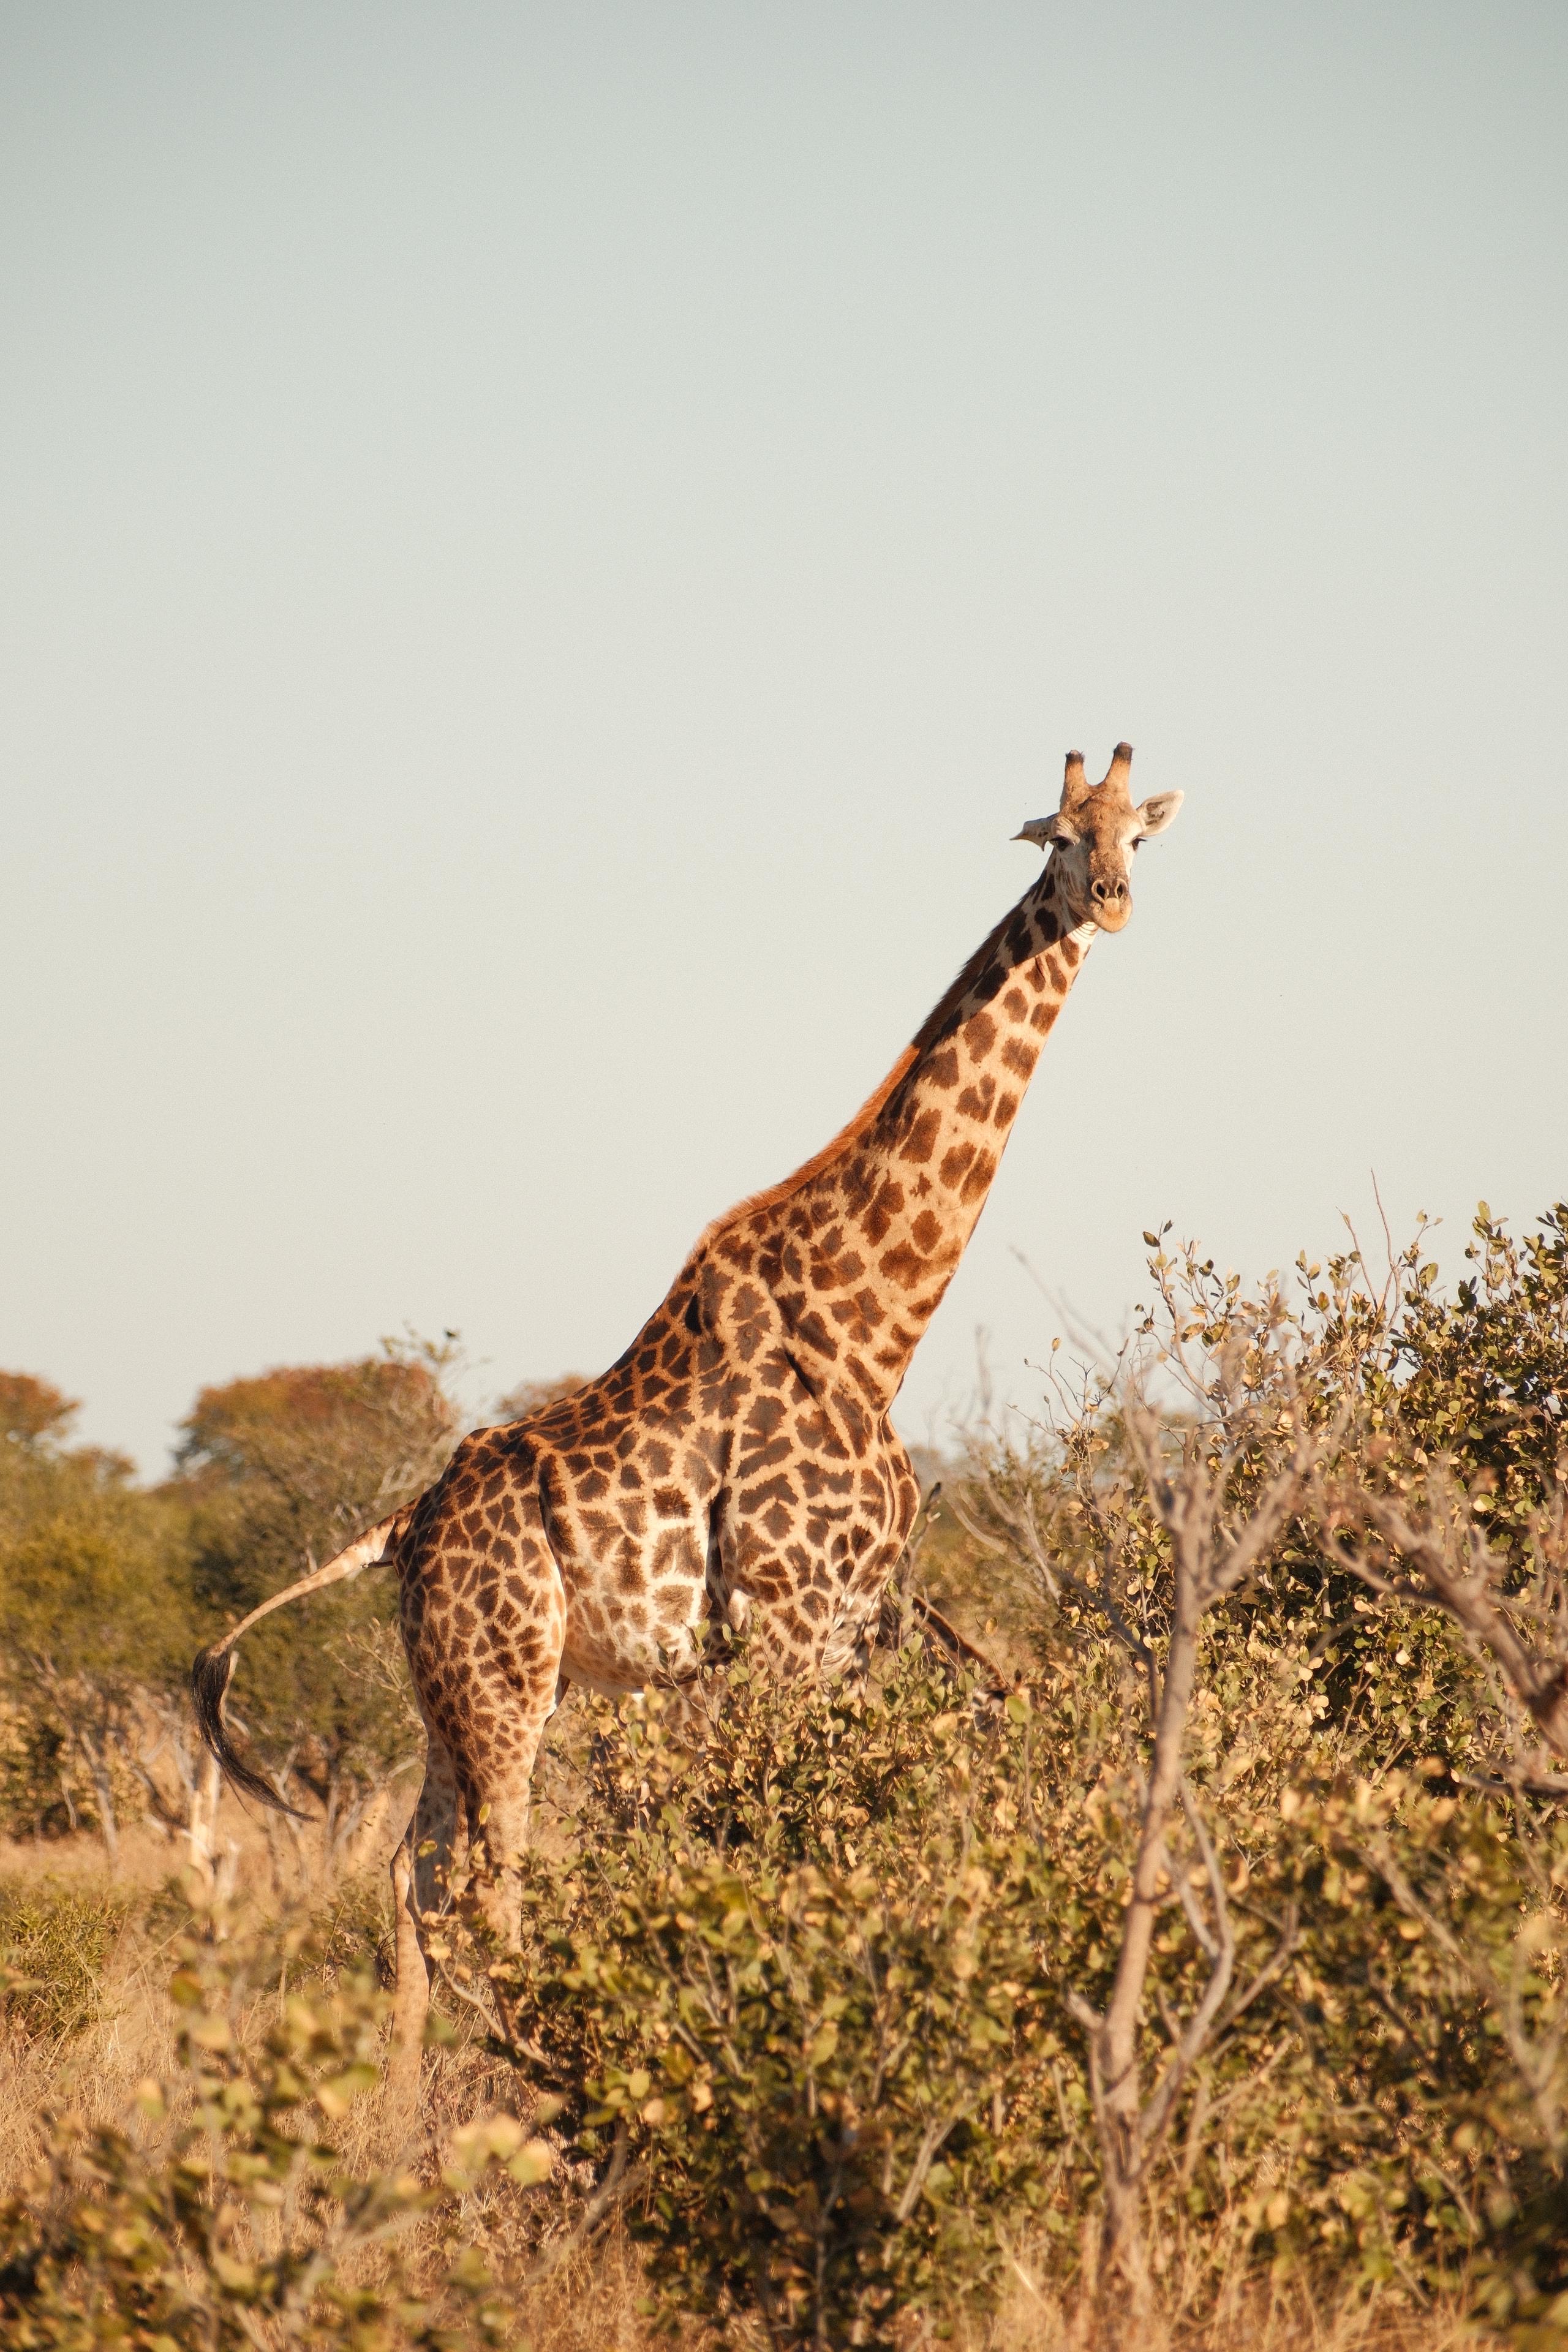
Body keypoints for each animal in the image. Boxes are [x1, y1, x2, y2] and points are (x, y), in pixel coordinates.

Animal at [192, 742, 1182, 2101]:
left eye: (1138, 833)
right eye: (1060, 838)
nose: (1115, 901)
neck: (873, 1329)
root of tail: (400, 1527)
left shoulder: (853, 1632)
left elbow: (831, 1843)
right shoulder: (784, 1623)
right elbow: (778, 1850)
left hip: (456, 1687)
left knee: (412, 1879)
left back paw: (401, 2119)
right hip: (508, 1680)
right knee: (490, 1892)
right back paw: (547, 2079)